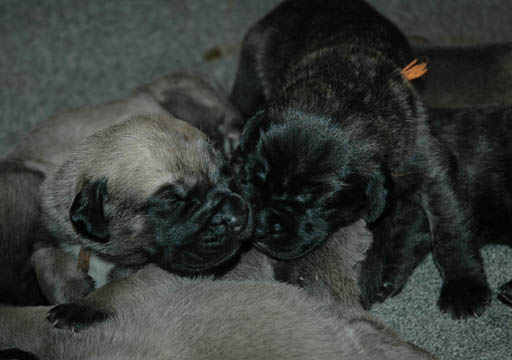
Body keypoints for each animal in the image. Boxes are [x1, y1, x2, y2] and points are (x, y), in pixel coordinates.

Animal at [230, 0, 490, 320]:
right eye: (252, 178)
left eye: (313, 202)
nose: (261, 226)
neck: (347, 94)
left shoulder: (432, 168)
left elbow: (450, 227)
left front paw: (464, 286)